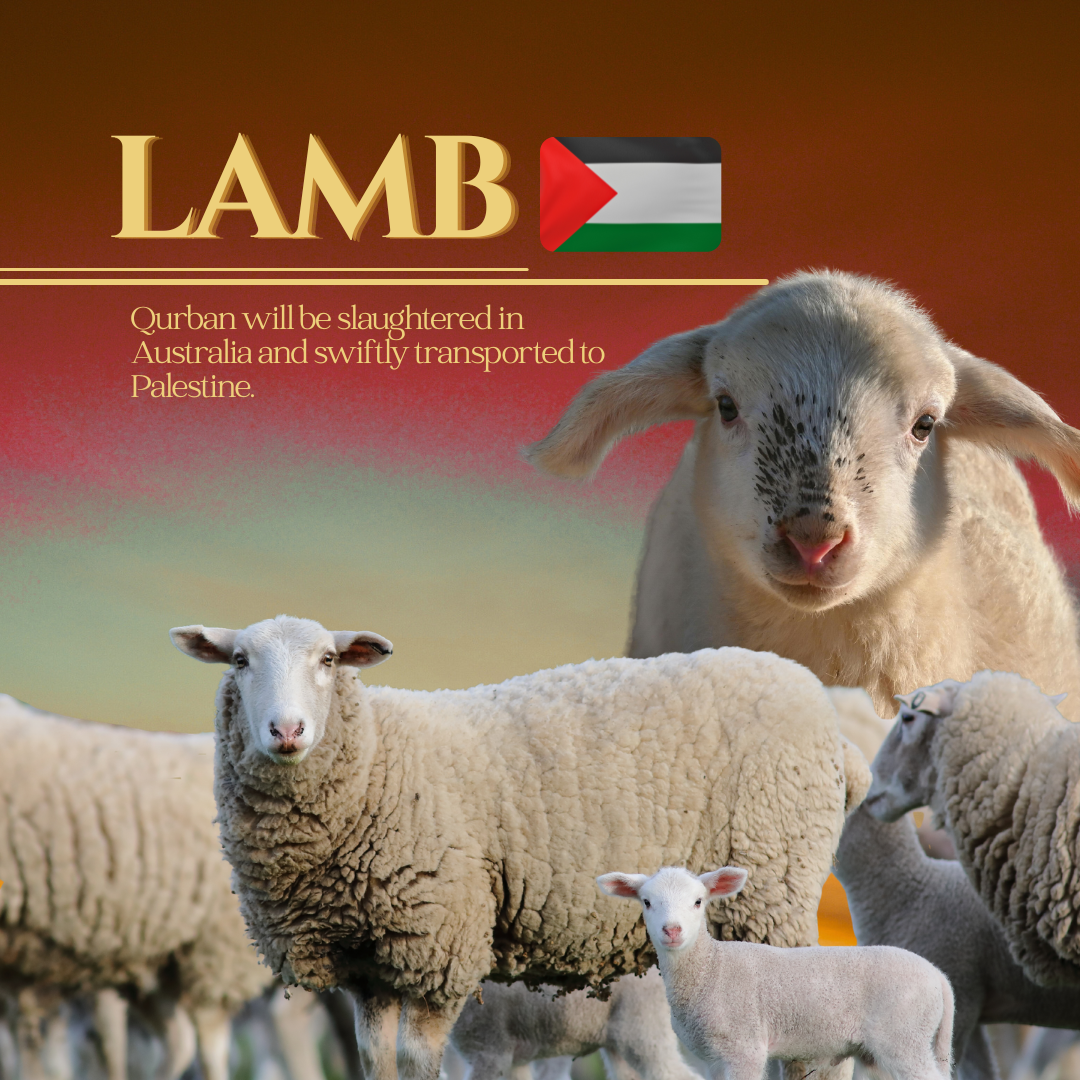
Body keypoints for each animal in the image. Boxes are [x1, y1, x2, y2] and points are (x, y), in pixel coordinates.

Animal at [596, 865, 954, 1080]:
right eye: (646, 902)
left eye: (698, 901)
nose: (672, 931)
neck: (711, 968)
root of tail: (939, 977)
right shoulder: (713, 1057)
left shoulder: (745, 1048)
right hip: (886, 1050)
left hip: (903, 1036)